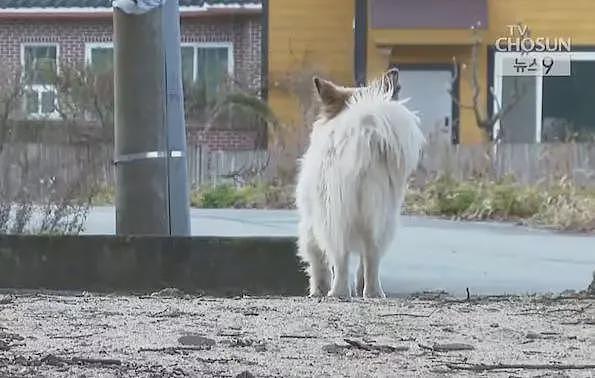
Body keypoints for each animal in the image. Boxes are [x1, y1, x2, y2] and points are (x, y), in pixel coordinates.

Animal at [296, 68, 426, 298]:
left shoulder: (310, 225)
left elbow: (318, 260)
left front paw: (318, 289)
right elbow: (363, 263)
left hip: (332, 215)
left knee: (340, 258)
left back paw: (337, 293)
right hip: (381, 217)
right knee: (372, 257)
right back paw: (372, 292)